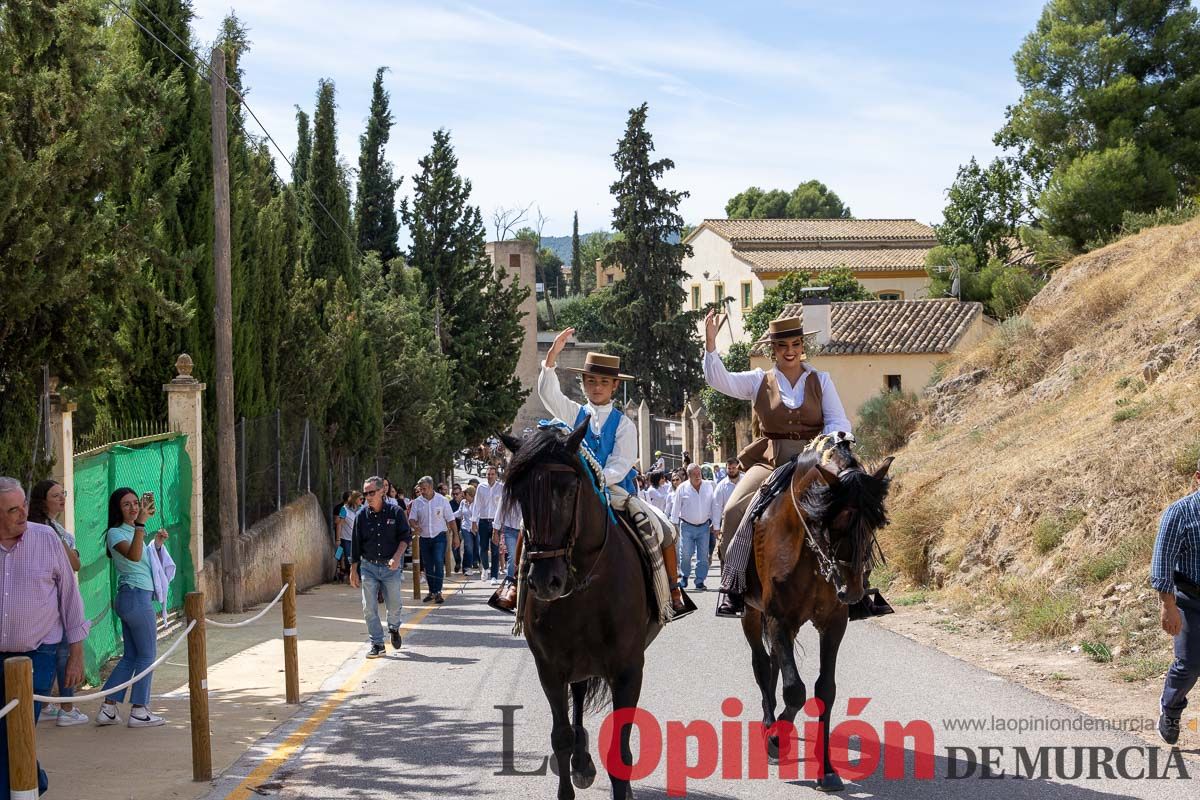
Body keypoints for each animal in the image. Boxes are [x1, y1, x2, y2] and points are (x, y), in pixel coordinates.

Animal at [499, 422, 667, 796]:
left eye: (567, 490)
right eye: (520, 494)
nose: (545, 581)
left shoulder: (628, 668)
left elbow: (621, 750)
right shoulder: (549, 668)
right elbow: (560, 737)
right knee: (577, 695)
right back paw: (582, 762)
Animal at [739, 441, 892, 791]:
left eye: (874, 523)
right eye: (840, 521)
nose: (853, 591)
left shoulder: (833, 624)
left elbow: (825, 690)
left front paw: (827, 770)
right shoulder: (778, 618)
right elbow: (795, 690)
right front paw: (776, 740)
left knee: (772, 663)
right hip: (751, 614)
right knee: (760, 663)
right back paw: (768, 724)